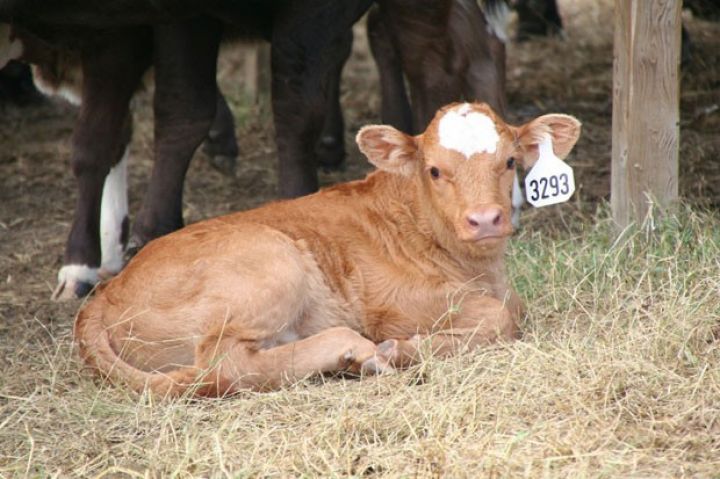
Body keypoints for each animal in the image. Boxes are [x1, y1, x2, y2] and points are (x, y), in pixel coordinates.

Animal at [74, 102, 580, 398]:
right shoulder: (395, 303)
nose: (485, 219)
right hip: (271, 265)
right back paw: (354, 351)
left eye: (510, 161)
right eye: (435, 171)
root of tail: (105, 291)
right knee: (223, 364)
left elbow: (513, 307)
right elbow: (502, 317)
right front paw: (401, 349)